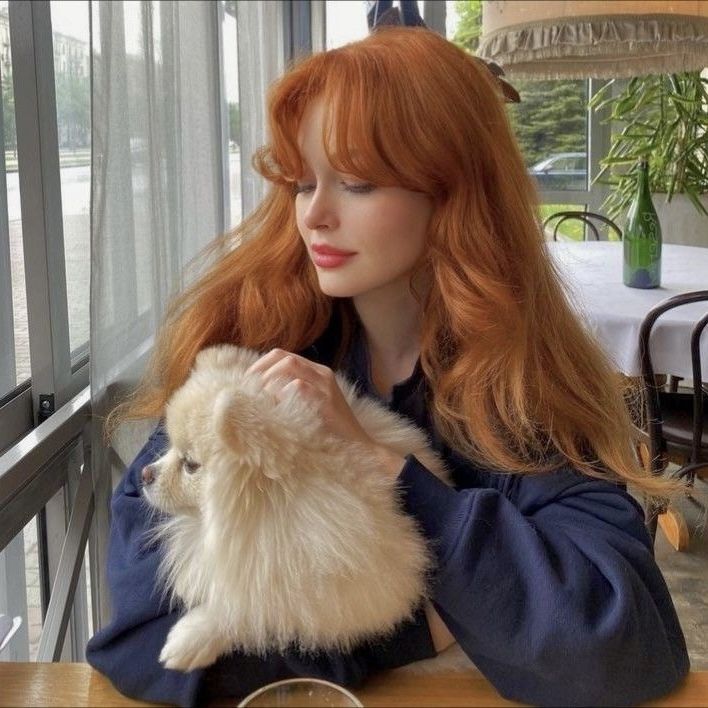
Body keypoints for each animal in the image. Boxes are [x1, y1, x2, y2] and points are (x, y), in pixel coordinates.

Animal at [142, 346, 450, 672]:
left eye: (190, 465)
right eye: (171, 448)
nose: (145, 474)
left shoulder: (347, 587)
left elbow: (257, 608)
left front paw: (192, 637)